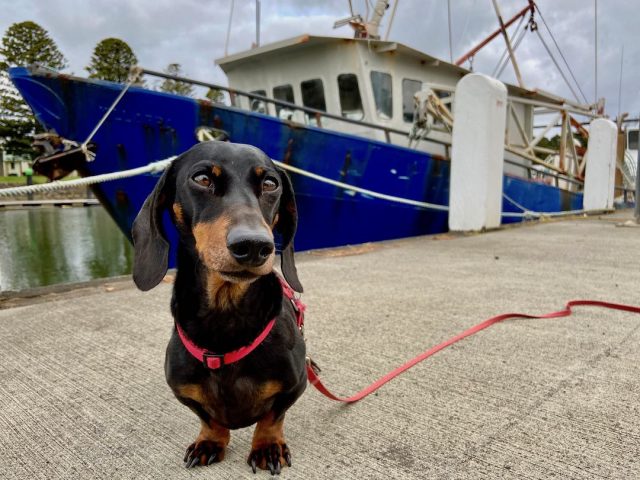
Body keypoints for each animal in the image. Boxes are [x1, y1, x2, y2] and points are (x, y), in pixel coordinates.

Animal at [131, 141, 306, 474]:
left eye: (270, 184)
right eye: (202, 179)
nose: (254, 246)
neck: (225, 319)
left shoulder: (294, 386)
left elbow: (272, 417)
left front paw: (267, 446)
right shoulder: (183, 390)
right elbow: (208, 418)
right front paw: (210, 441)